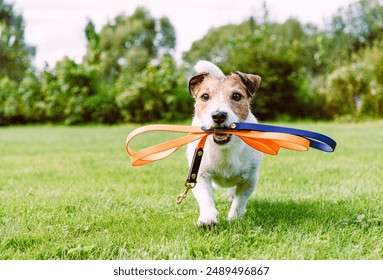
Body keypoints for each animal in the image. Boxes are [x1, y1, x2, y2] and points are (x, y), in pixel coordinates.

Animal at [187, 60, 264, 226]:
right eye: (205, 96)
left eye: (236, 96)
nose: (218, 115)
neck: (225, 148)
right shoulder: (199, 173)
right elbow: (205, 197)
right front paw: (207, 217)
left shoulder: (250, 179)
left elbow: (240, 200)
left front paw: (235, 218)